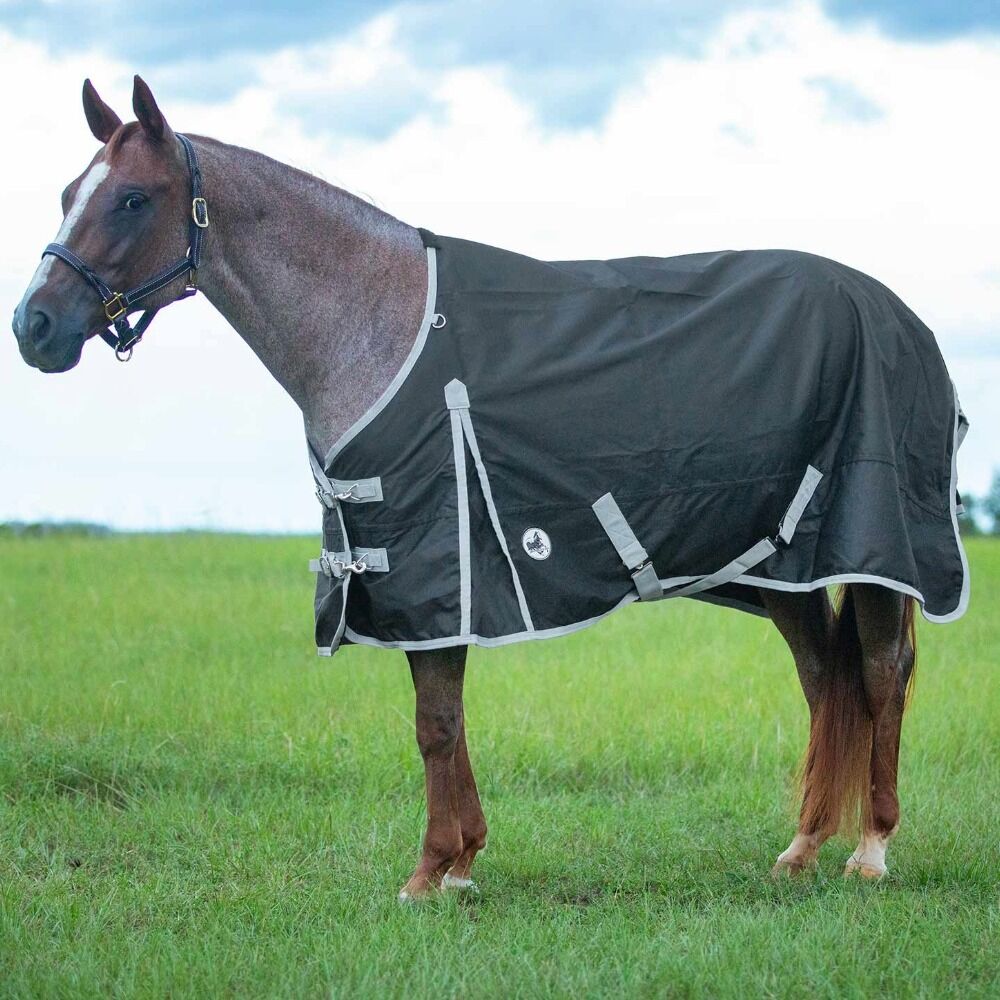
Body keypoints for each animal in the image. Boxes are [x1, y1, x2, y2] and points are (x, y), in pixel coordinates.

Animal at [12, 76, 959, 899]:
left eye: (132, 199)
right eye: (66, 192)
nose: (34, 326)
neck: (377, 324)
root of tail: (902, 317)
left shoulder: (432, 567)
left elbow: (435, 723)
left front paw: (430, 871)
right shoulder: (426, 581)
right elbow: (449, 719)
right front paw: (463, 862)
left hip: (875, 553)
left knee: (879, 674)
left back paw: (871, 851)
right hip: (784, 570)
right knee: (824, 679)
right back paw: (801, 848)